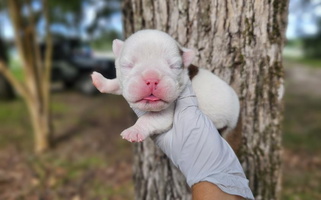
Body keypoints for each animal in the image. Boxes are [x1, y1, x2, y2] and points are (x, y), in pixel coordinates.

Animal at [91, 29, 239, 142]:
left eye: (174, 66)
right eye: (127, 65)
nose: (151, 79)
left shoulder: (166, 114)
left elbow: (148, 119)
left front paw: (134, 131)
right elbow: (117, 82)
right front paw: (101, 81)